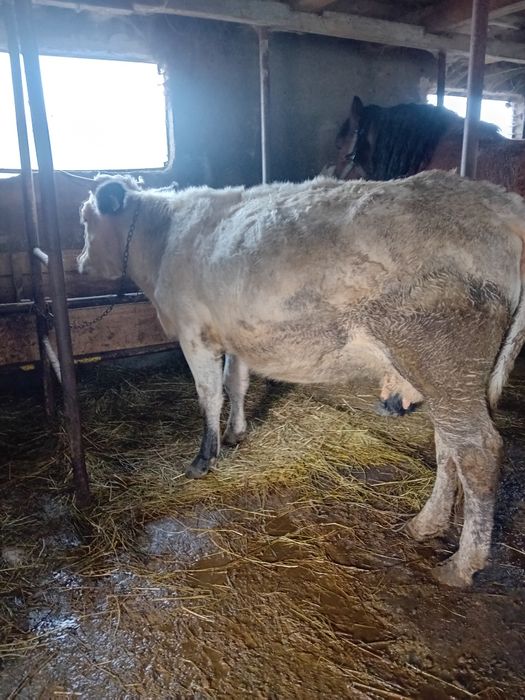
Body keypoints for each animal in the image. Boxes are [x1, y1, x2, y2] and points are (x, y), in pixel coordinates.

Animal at [78, 170, 525, 588]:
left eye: (84, 220)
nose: (80, 262)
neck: (164, 240)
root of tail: (500, 202)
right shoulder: (236, 336)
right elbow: (235, 384)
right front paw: (236, 432)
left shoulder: (195, 334)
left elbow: (209, 395)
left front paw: (205, 457)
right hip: (446, 375)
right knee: (448, 447)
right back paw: (425, 524)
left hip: (442, 359)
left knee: (476, 451)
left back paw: (461, 565)